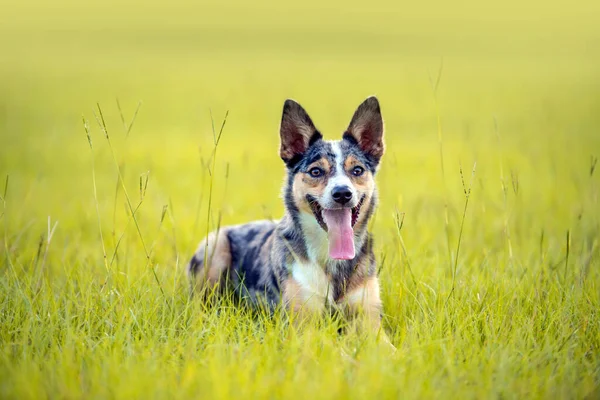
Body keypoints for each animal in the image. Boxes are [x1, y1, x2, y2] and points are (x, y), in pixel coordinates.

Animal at [189, 97, 394, 346]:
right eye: (316, 171)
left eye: (357, 170)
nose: (342, 193)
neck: (329, 258)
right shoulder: (303, 325)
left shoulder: (370, 321)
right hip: (215, 247)